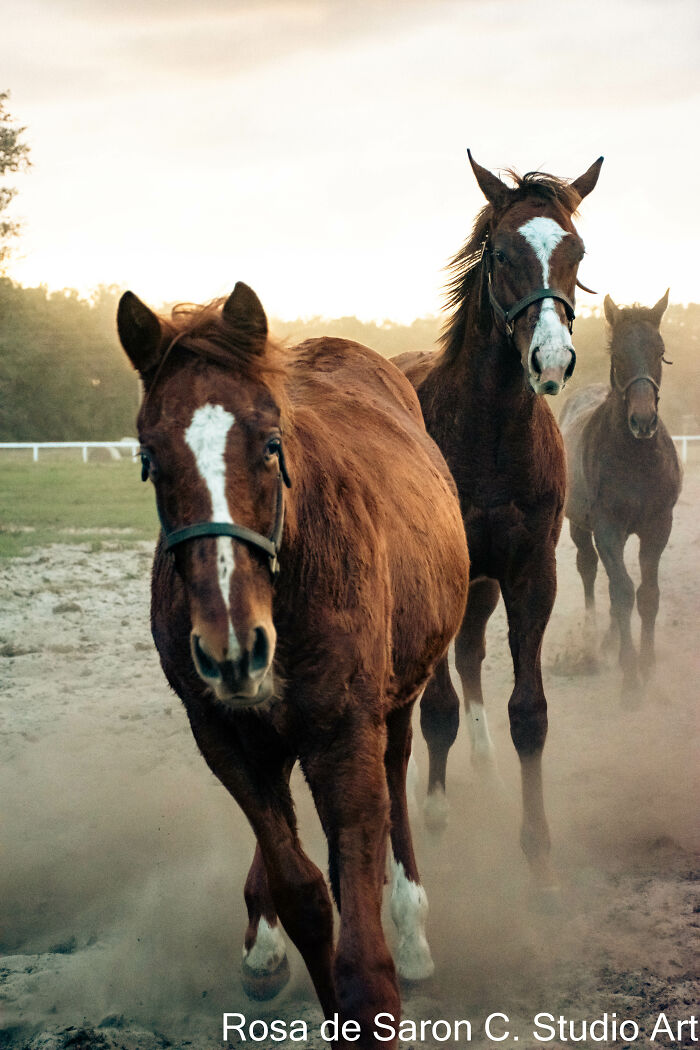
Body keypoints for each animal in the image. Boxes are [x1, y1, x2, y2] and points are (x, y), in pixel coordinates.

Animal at [116, 283, 470, 1045]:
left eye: (271, 444)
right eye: (150, 456)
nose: (232, 645)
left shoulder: (344, 737)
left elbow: (359, 914)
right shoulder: (225, 739)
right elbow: (302, 888)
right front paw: (278, 938)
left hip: (396, 702)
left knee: (398, 780)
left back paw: (412, 928)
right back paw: (264, 945)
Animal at [394, 153, 604, 894]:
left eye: (575, 251)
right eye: (504, 252)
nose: (551, 361)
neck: (485, 434)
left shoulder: (529, 571)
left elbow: (529, 713)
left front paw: (538, 857)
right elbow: (435, 710)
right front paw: (432, 813)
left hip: (482, 585)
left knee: (471, 654)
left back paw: (481, 765)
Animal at [562, 294, 680, 705]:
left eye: (660, 352)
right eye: (617, 355)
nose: (643, 422)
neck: (636, 459)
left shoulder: (658, 527)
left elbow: (646, 595)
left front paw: (646, 665)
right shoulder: (607, 530)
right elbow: (622, 592)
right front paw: (630, 678)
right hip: (580, 527)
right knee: (589, 570)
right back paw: (593, 639)